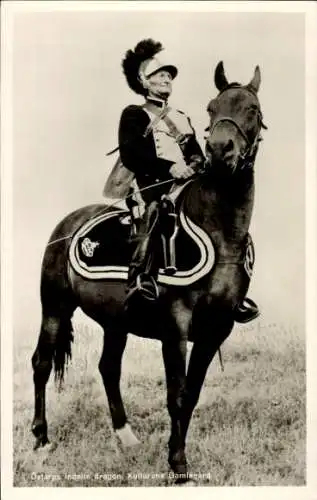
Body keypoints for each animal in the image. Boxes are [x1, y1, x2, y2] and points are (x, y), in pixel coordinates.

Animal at [31, 60, 264, 482]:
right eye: (211, 108)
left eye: (252, 109)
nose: (221, 151)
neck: (220, 231)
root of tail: (67, 225)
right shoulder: (176, 326)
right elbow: (177, 394)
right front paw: (178, 466)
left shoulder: (216, 328)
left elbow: (191, 394)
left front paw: (177, 455)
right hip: (54, 308)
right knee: (41, 364)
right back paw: (41, 439)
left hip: (115, 322)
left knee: (108, 368)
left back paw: (125, 436)